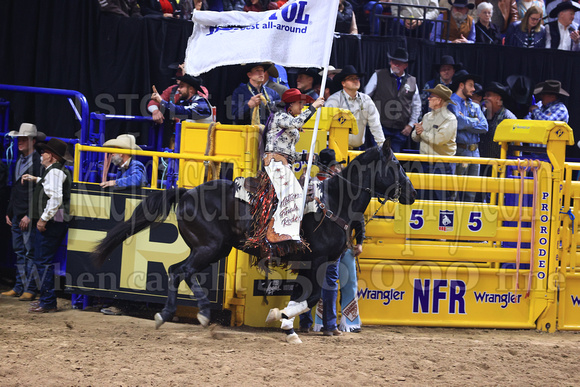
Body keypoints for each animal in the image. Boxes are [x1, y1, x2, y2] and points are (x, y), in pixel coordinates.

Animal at [93, 142, 414, 342]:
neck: (335, 201)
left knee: (182, 272)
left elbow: (302, 295)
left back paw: (191, 313)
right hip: (210, 247)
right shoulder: (319, 261)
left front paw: (285, 322)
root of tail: (186, 192)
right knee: (179, 271)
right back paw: (184, 315)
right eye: (396, 164)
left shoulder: (308, 263)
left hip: (211, 248)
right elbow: (310, 297)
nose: (411, 192)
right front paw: (281, 316)